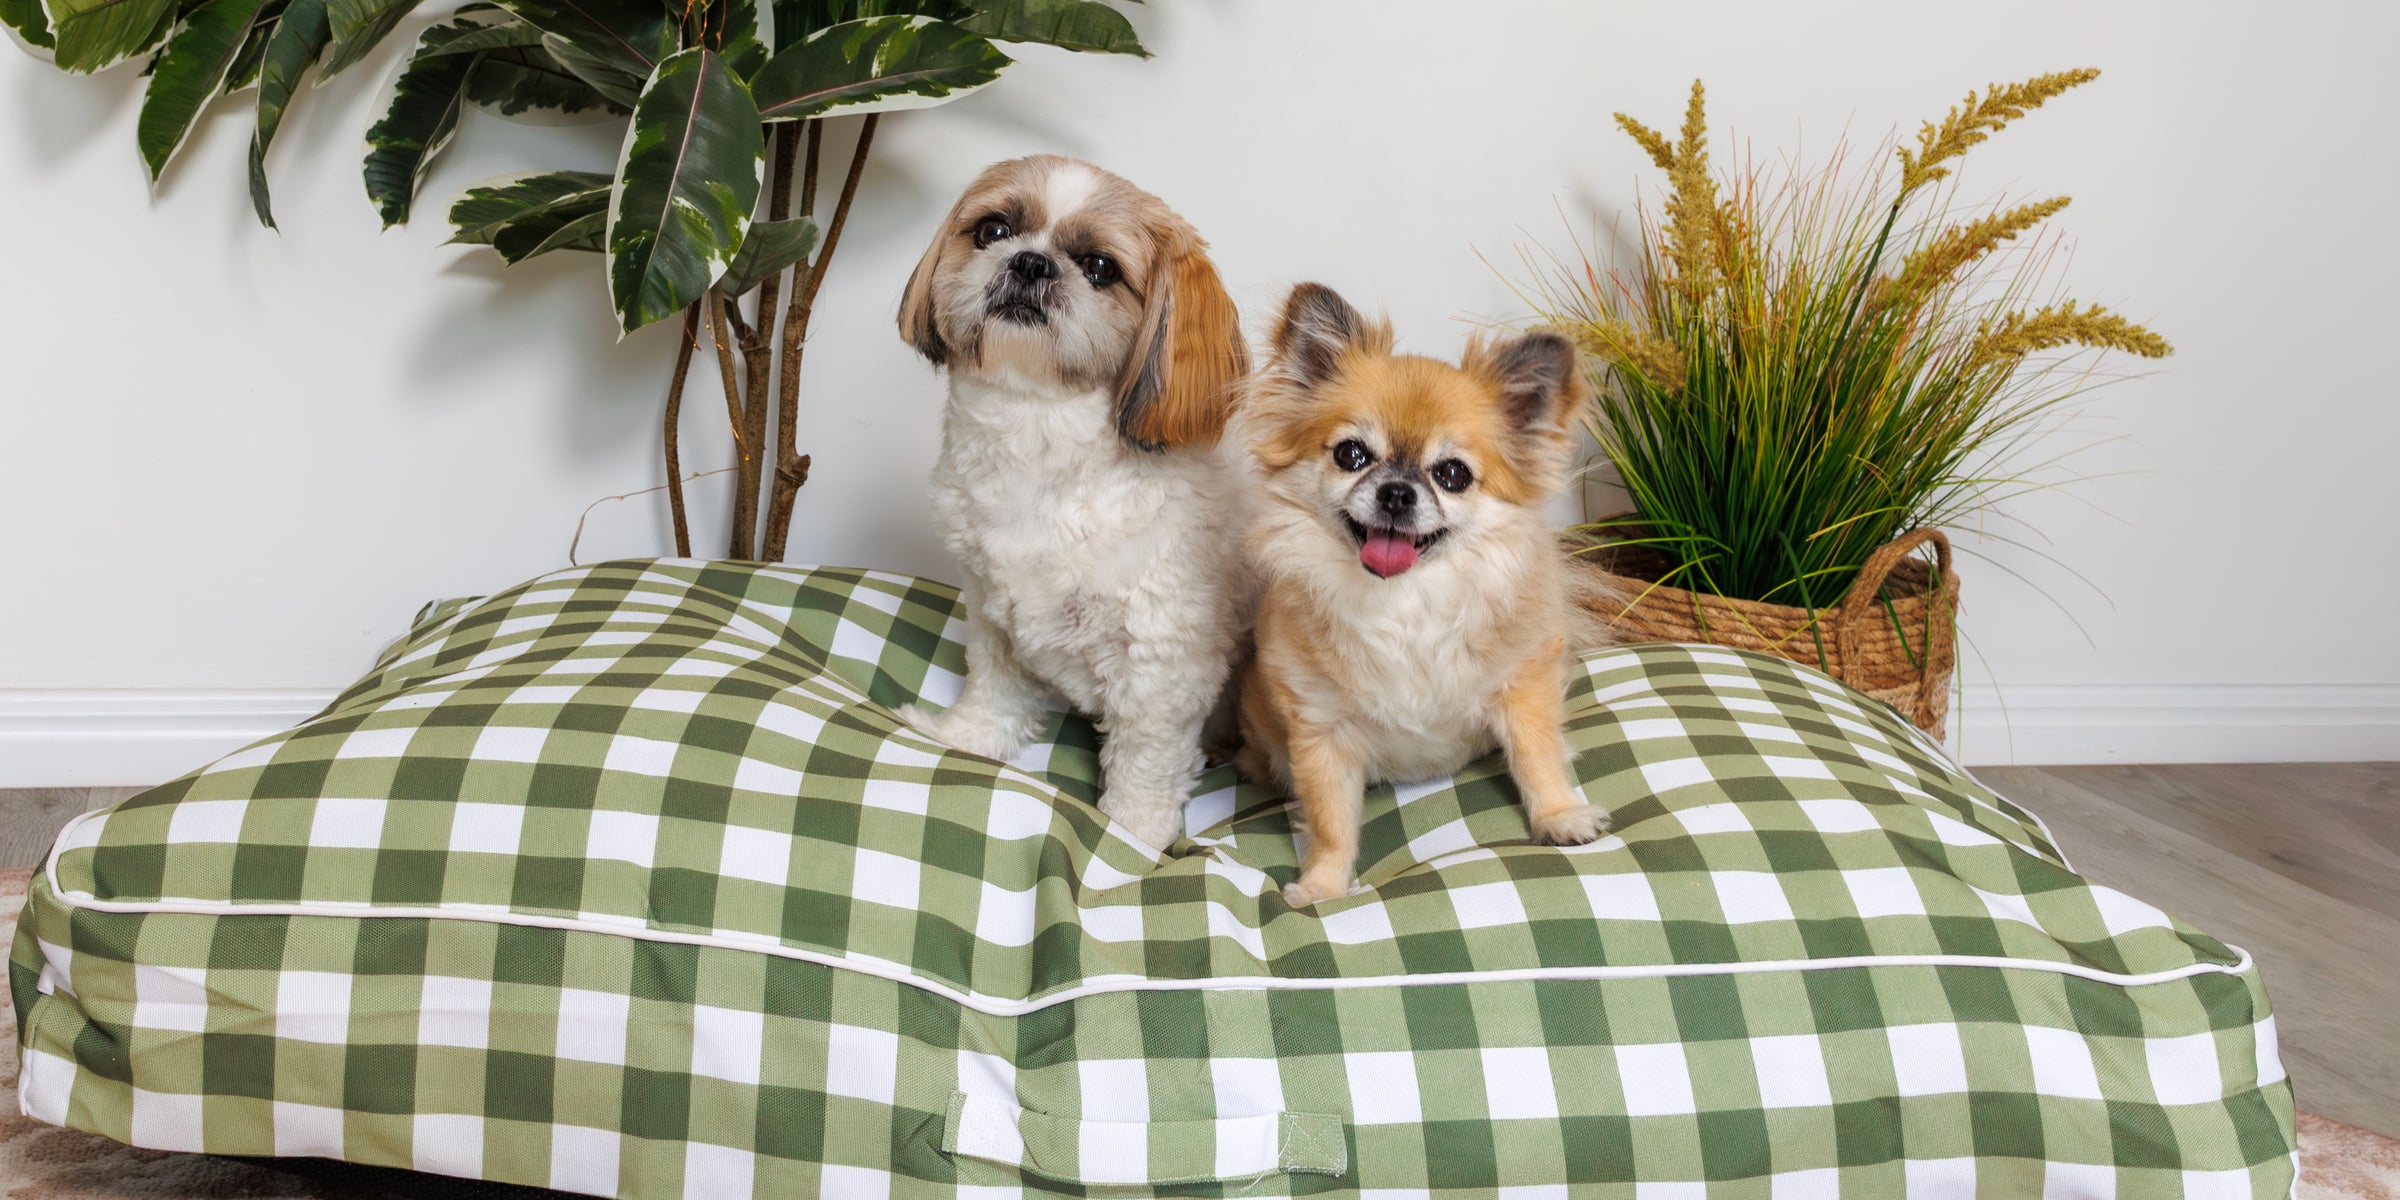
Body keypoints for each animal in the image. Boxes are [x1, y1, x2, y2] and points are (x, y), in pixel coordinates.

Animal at [892, 157, 1248, 854]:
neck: (1039, 439)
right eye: (993, 230)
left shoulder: (1162, 660)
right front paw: (966, 741)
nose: (1031, 262)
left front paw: (1129, 838)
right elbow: (996, 689)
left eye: (1101, 267)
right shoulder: (992, 609)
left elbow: (1146, 760)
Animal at [1238, 283, 1612, 902]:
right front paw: (1322, 888)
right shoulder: (1321, 730)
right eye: (1350, 455)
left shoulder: (1523, 684)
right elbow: (1329, 820)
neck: (1405, 603)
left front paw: (1560, 817)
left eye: (1453, 474)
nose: (1396, 492)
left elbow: (1536, 756)